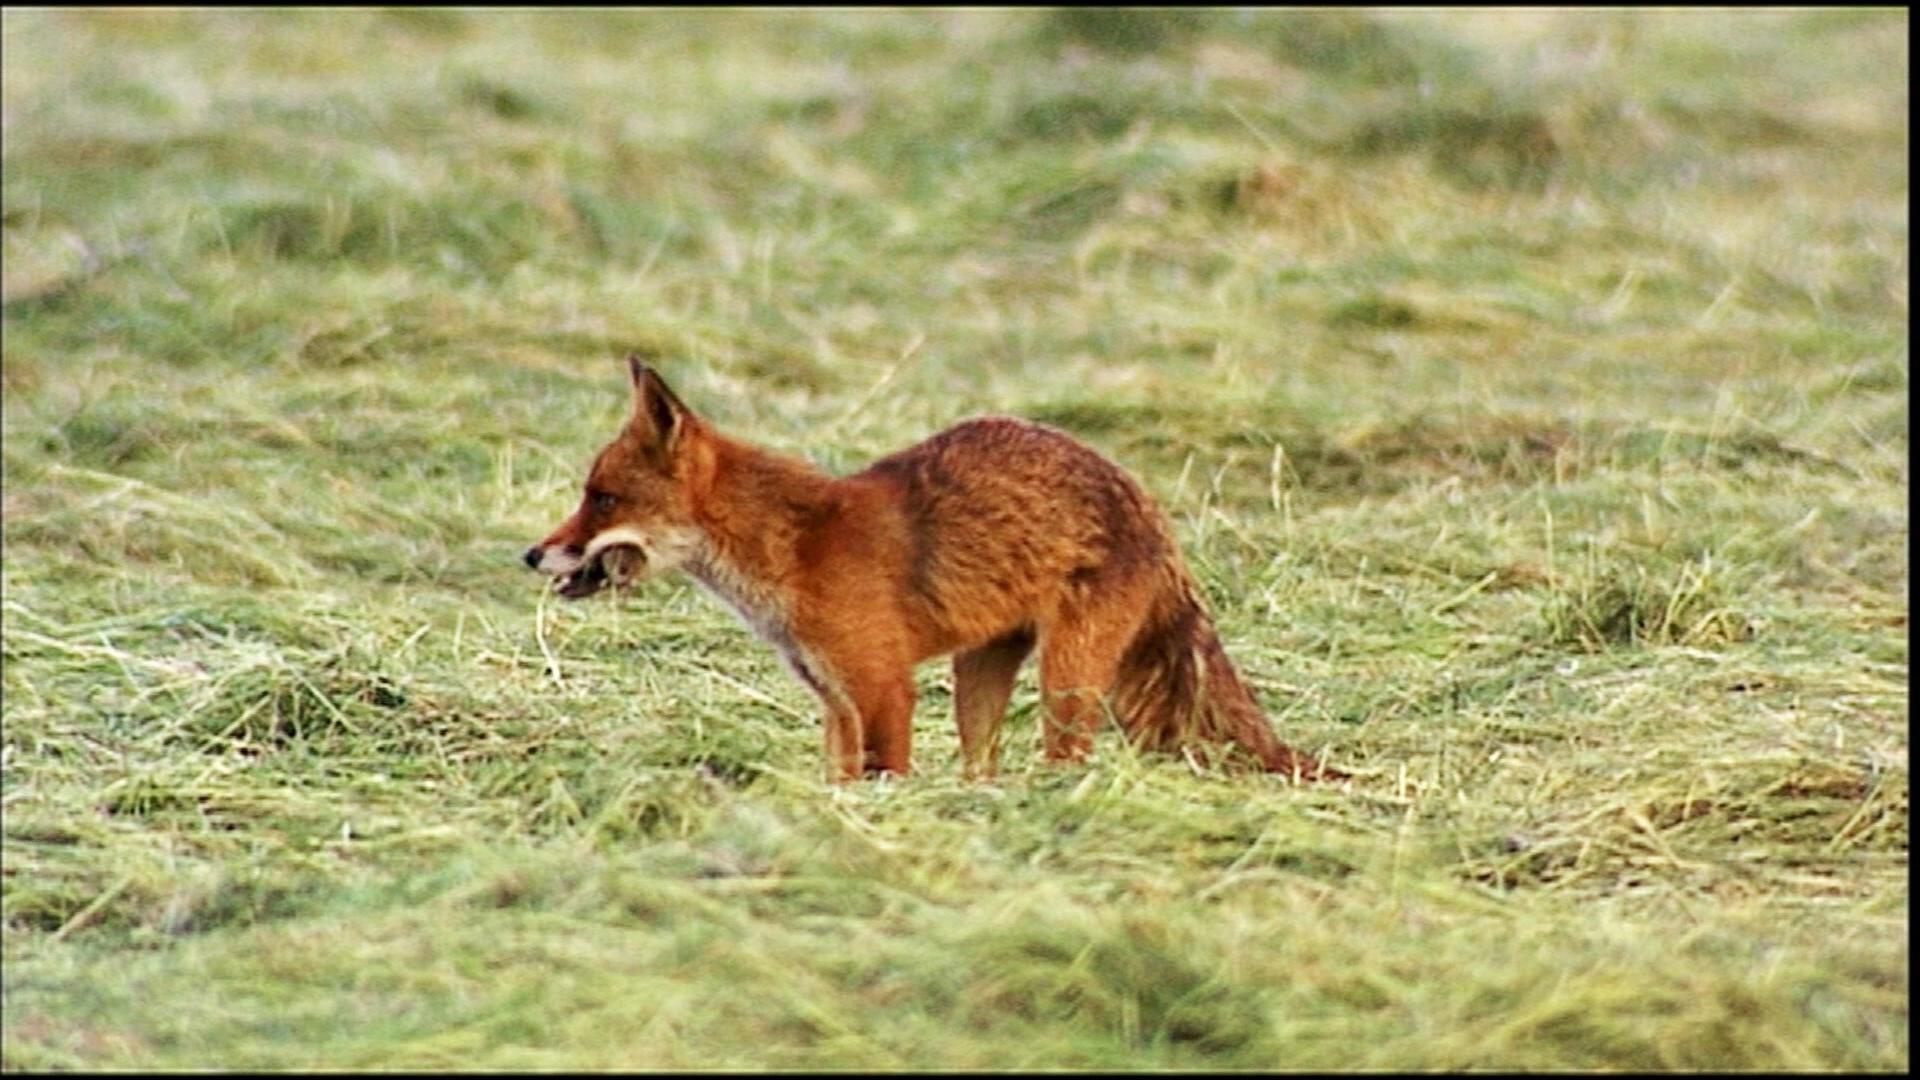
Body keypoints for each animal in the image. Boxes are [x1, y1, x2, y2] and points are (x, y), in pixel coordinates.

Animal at [524, 356, 1341, 784]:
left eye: (602, 497)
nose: (531, 554)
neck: (791, 549)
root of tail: (1148, 503)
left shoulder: (884, 688)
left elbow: (887, 772)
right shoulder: (836, 702)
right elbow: (841, 779)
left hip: (1067, 682)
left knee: (1065, 759)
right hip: (978, 680)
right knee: (984, 767)